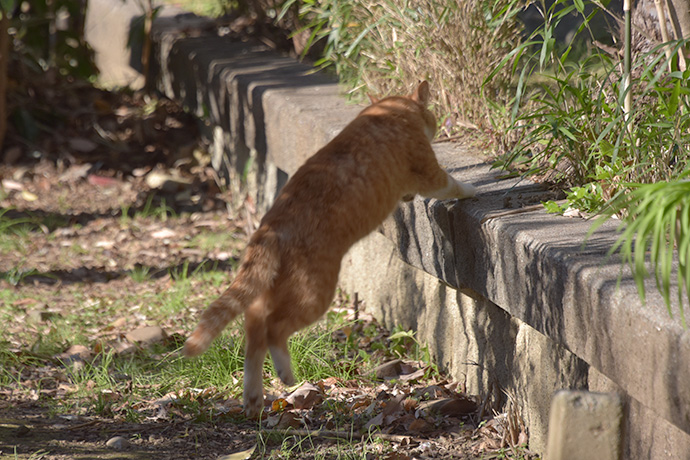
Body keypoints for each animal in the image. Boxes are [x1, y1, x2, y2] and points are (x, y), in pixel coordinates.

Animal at [183, 82, 472, 416]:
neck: (389, 112)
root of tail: (270, 227)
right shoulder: (428, 170)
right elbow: (452, 184)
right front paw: (473, 190)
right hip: (313, 293)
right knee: (272, 327)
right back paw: (284, 375)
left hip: (279, 284)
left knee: (253, 323)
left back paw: (254, 397)